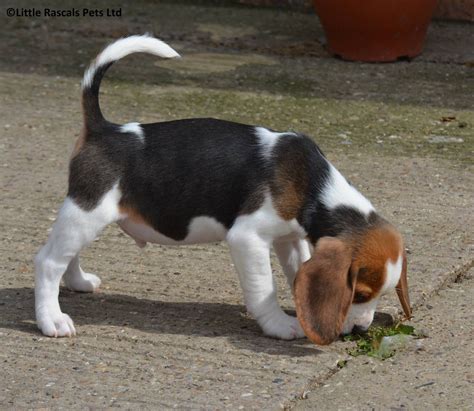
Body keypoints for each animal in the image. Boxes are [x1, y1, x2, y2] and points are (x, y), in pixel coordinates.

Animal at [34, 35, 412, 344]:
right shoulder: (248, 238)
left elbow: (298, 271)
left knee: (67, 255)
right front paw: (280, 325)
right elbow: (264, 288)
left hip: (86, 215)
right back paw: (52, 319)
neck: (314, 187)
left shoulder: (289, 238)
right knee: (48, 261)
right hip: (88, 210)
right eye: (359, 293)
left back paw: (78, 282)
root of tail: (103, 129)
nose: (361, 329)